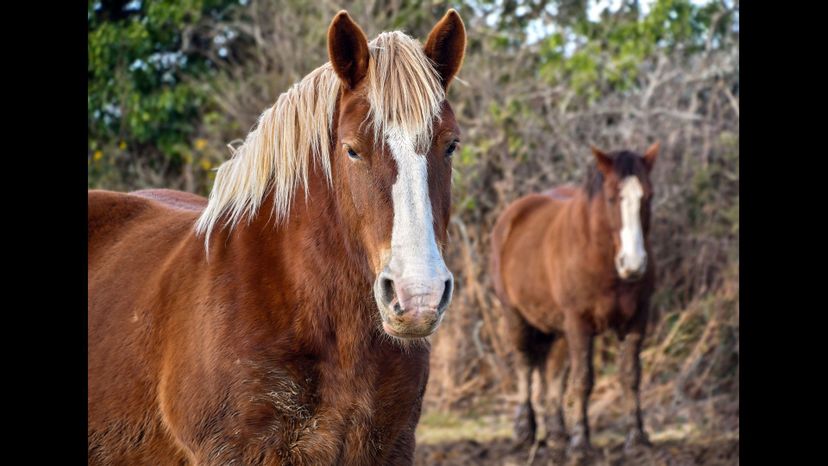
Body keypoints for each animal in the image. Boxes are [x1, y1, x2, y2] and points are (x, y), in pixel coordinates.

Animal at [492, 143, 660, 456]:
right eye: (611, 197)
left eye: (648, 195)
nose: (633, 264)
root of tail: (513, 214)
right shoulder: (579, 324)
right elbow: (583, 379)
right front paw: (581, 443)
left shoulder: (637, 320)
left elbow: (630, 376)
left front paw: (637, 438)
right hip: (515, 317)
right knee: (524, 363)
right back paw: (525, 431)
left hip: (557, 328)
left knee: (552, 374)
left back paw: (557, 433)